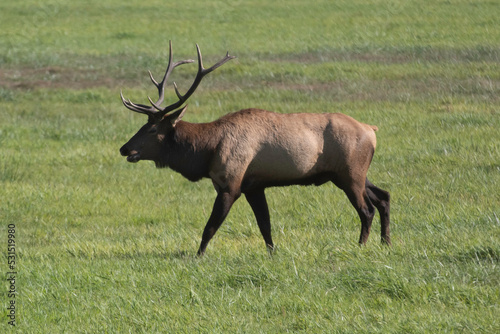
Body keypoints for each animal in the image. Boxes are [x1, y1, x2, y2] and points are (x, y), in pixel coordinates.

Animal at [120, 42, 390, 256]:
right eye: (144, 125)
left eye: (153, 129)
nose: (124, 149)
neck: (207, 152)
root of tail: (371, 129)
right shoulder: (254, 186)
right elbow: (265, 225)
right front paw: (272, 253)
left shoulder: (231, 184)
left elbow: (210, 227)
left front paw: (198, 256)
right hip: (351, 173)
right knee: (383, 197)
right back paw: (385, 243)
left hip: (350, 173)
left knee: (366, 209)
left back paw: (361, 246)